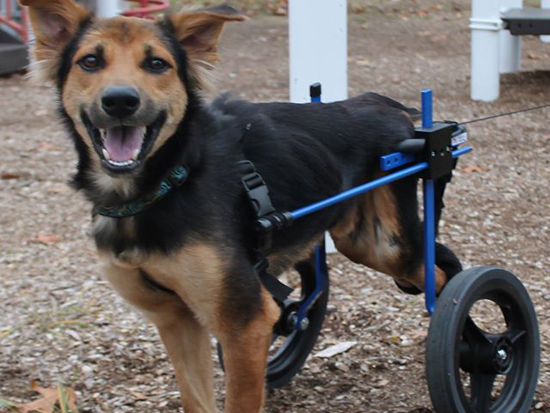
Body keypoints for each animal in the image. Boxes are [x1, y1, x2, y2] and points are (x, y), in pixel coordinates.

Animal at [20, 1, 462, 410]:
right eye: (90, 61)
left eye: (157, 64)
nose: (120, 102)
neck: (168, 181)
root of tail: (388, 106)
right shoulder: (177, 320)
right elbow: (196, 399)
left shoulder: (245, 323)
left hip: (387, 246)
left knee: (443, 280)